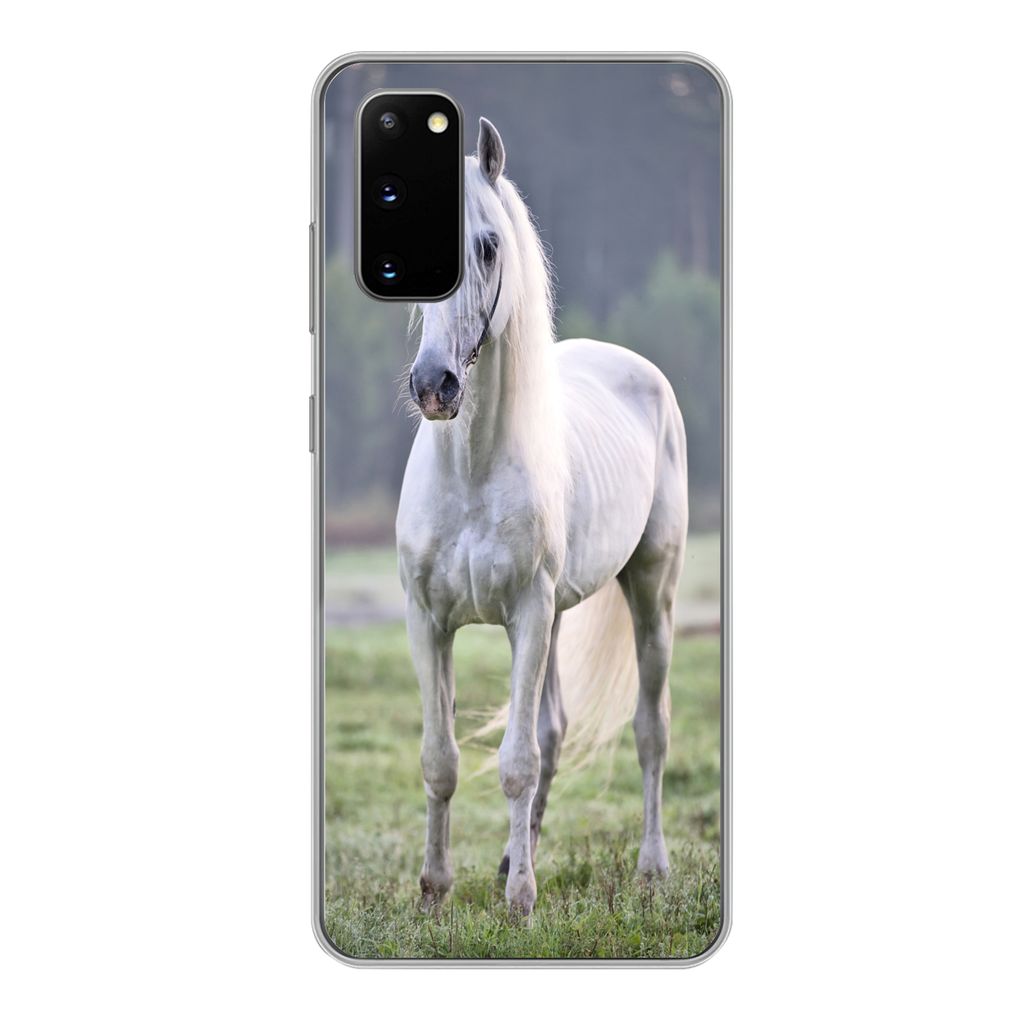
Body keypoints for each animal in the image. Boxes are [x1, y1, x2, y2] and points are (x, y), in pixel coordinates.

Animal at [396, 118, 688, 917]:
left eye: (489, 246)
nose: (434, 386)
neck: (470, 472)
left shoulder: (526, 614)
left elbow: (517, 762)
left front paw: (520, 901)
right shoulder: (429, 620)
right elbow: (439, 759)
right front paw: (434, 890)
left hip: (649, 593)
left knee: (649, 731)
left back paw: (650, 867)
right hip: (557, 616)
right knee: (554, 730)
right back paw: (508, 857)